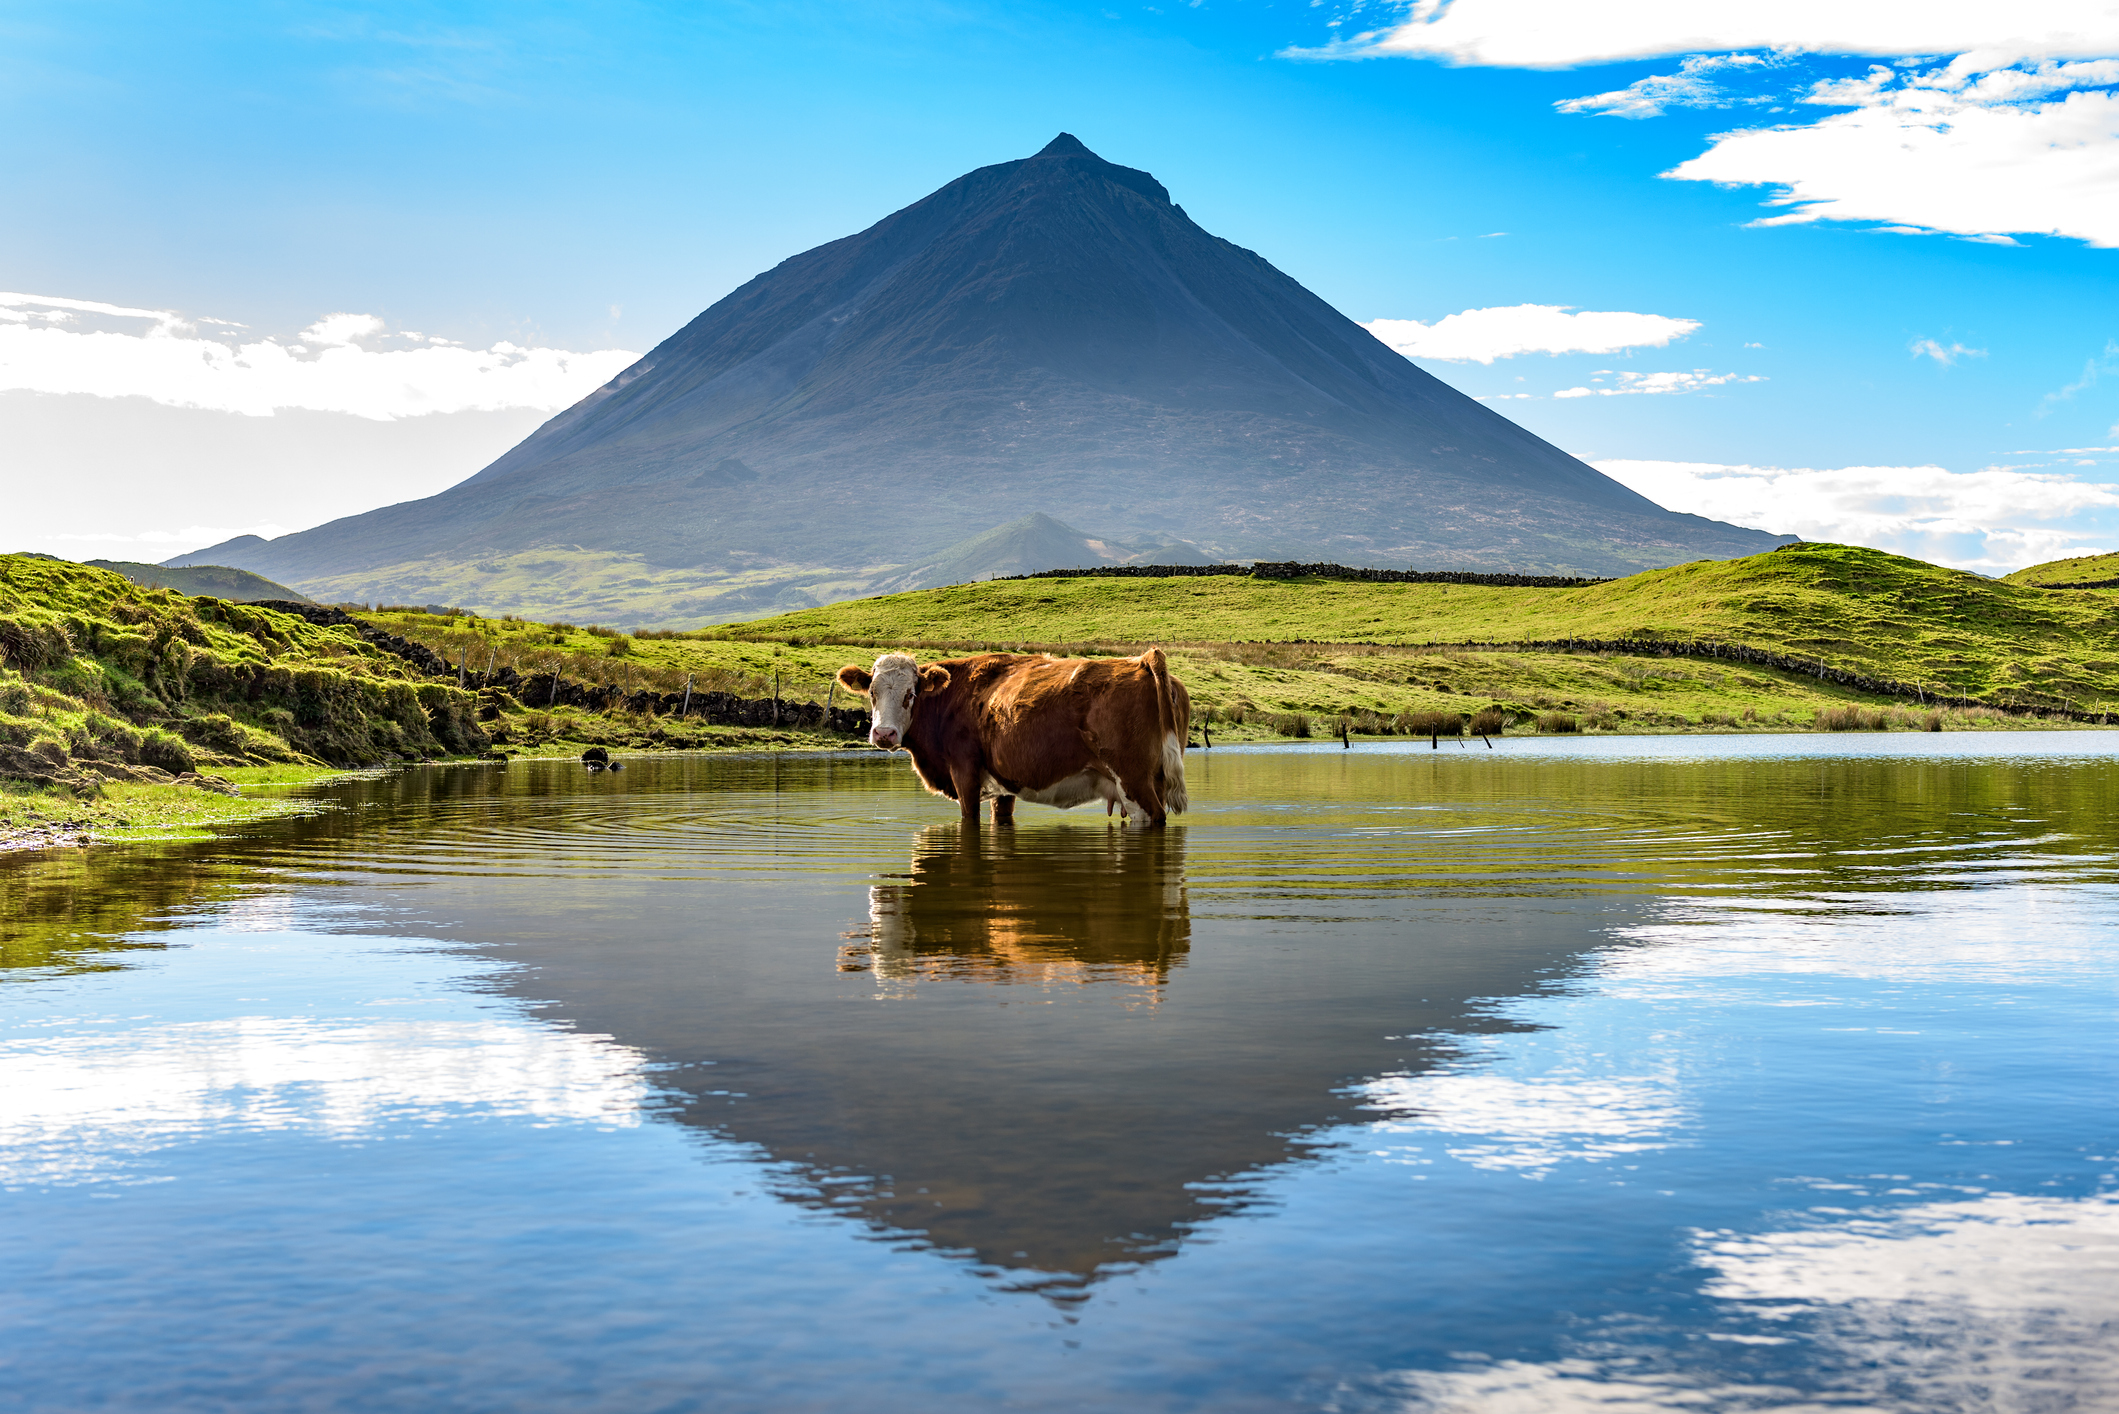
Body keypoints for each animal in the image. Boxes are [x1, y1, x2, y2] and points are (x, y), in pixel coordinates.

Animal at [830, 648, 1195, 822]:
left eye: (911, 694)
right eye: (872, 693)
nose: (884, 733)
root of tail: (1143, 661)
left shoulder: (965, 772)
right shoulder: (1002, 786)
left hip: (1133, 781)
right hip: (1151, 779)